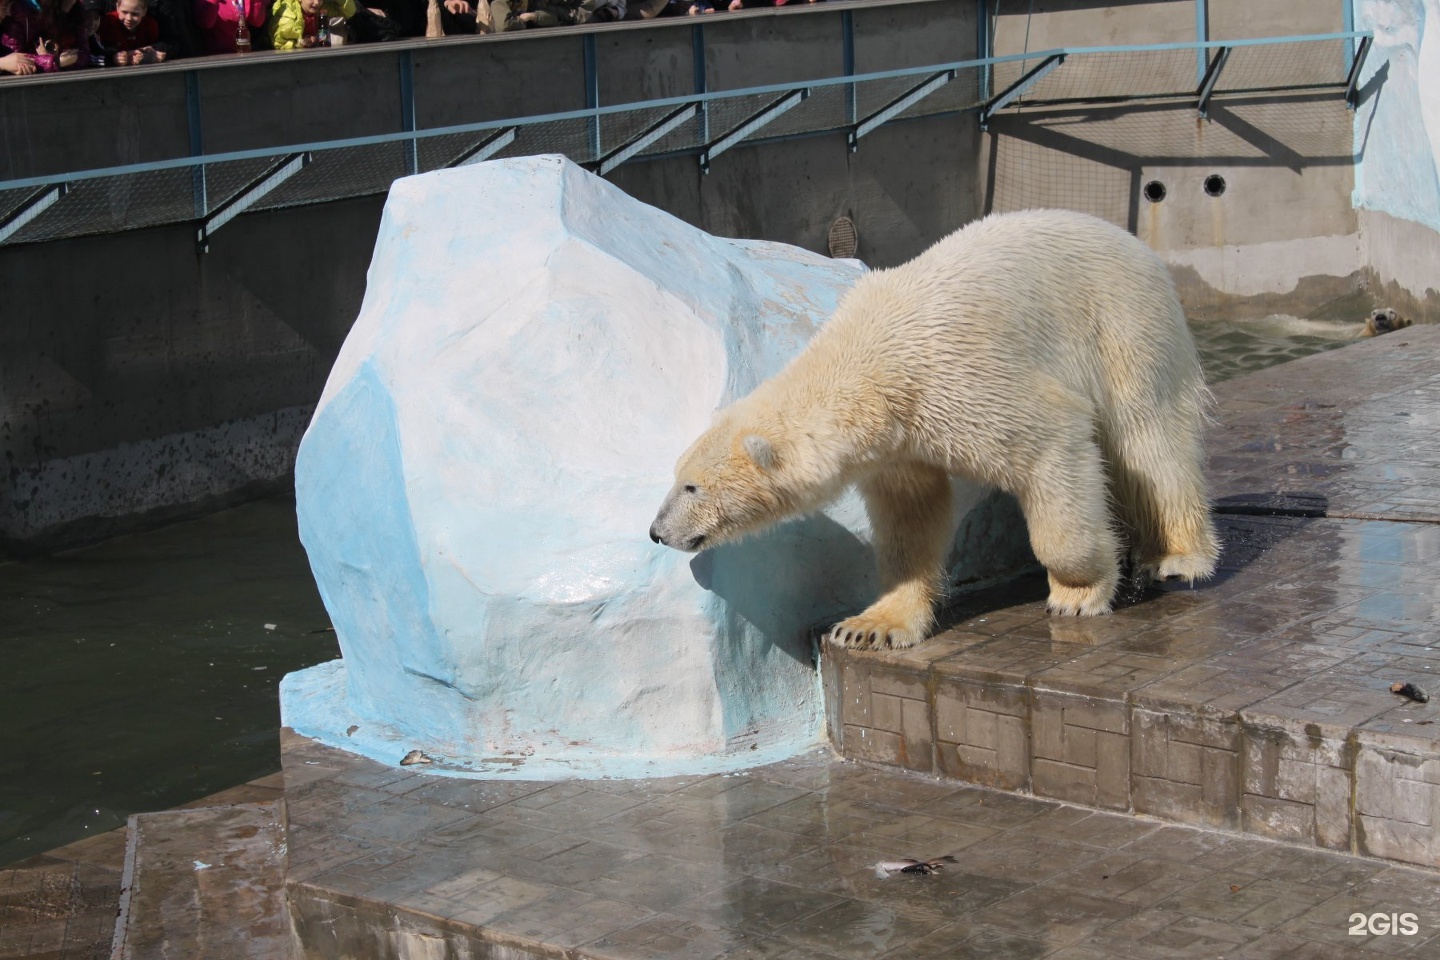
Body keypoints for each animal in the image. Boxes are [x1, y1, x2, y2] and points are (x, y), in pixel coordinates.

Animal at [648, 207, 1221, 650]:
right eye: (675, 476)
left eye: (692, 486)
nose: (657, 532)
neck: (869, 364)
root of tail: (1135, 242)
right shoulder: (897, 444)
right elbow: (911, 516)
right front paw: (870, 626)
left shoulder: (960, 379)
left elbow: (1050, 443)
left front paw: (1078, 594)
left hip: (1124, 322)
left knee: (1149, 439)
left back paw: (1176, 557)